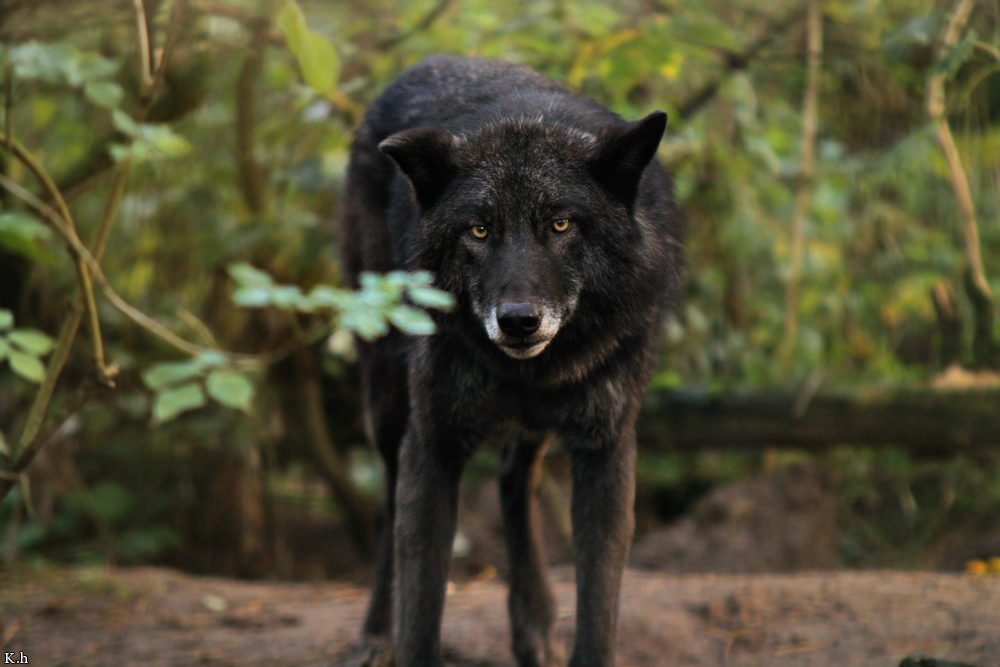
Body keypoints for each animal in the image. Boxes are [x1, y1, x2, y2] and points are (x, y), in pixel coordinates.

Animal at [338, 55, 682, 667]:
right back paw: (375, 634)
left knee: (511, 482)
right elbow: (420, 606)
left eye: (561, 224)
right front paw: (400, 635)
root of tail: (429, 61)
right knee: (385, 511)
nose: (519, 319)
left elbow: (599, 610)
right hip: (388, 402)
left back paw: (535, 622)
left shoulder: (606, 450)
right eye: (479, 229)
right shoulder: (433, 444)